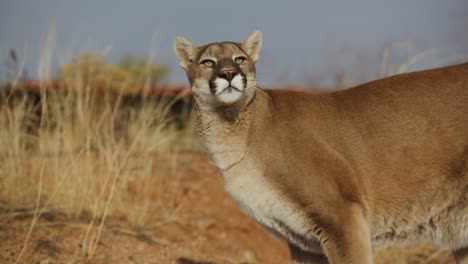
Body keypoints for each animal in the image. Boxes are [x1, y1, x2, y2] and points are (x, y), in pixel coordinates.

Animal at [174, 29, 466, 262]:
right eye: (208, 62)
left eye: (239, 59)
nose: (228, 73)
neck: (231, 127)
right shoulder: (304, 243)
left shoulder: (342, 216)